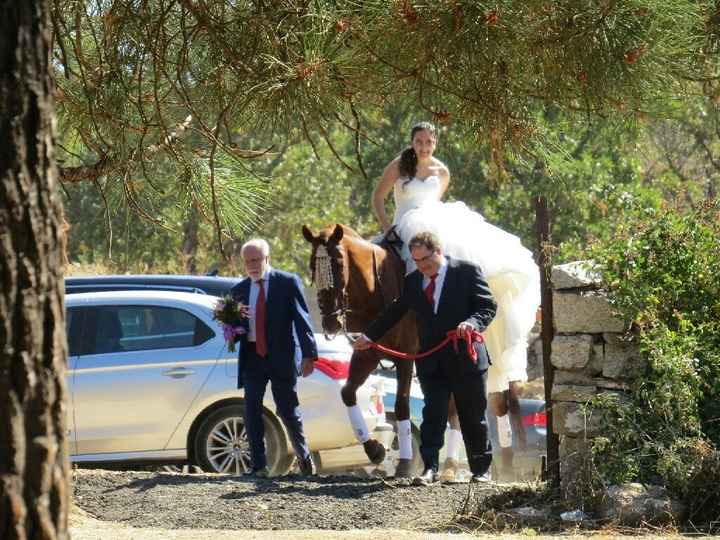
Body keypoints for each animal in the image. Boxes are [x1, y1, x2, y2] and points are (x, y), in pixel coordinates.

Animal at [302, 224, 416, 468]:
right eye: (312, 264)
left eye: (338, 263)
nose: (330, 321)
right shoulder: (367, 354)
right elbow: (347, 392)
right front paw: (374, 449)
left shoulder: (406, 356)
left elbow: (402, 405)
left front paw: (404, 462)